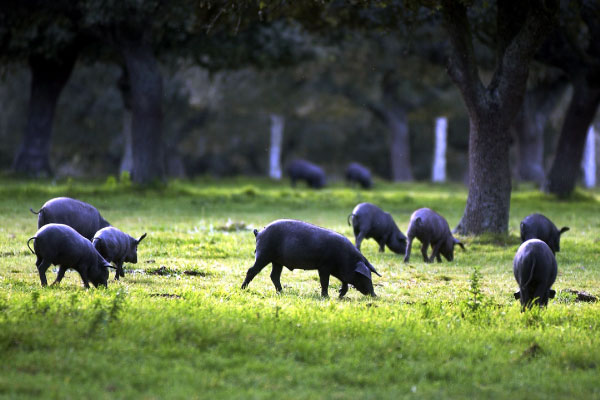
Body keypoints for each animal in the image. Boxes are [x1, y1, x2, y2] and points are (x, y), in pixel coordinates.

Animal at [239, 219, 380, 296]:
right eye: (363, 276)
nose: (374, 295)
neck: (346, 260)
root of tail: (259, 232)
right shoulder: (324, 266)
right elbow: (325, 282)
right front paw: (326, 297)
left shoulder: (338, 271)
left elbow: (344, 282)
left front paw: (340, 296)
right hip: (263, 254)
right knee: (252, 270)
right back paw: (242, 288)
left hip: (277, 261)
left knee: (274, 275)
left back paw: (281, 292)